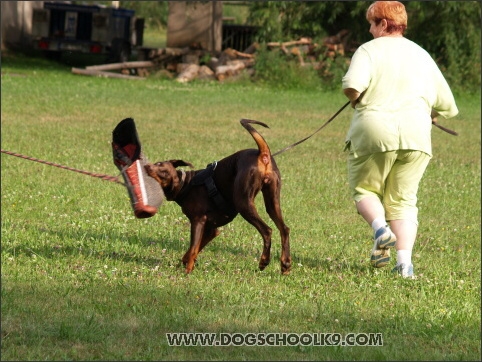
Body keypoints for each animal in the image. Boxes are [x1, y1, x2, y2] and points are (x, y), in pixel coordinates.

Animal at [145, 119, 292, 274]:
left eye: (161, 168)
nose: (146, 166)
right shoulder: (212, 230)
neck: (186, 185)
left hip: (244, 203)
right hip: (272, 202)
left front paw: (187, 271)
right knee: (284, 229)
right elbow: (193, 250)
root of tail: (261, 154)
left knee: (267, 230)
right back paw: (285, 265)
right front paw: (185, 262)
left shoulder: (198, 221)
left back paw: (264, 261)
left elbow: (193, 249)